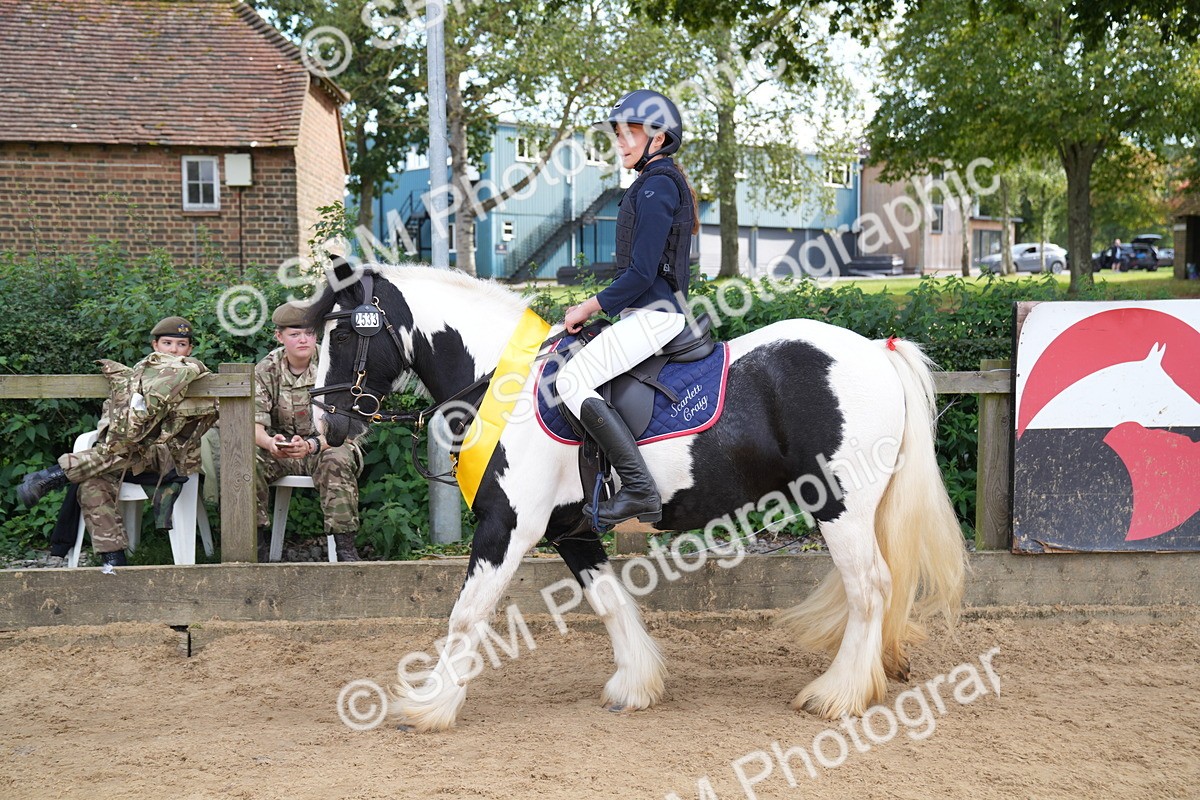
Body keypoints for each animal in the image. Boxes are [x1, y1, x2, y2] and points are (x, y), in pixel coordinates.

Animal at [307, 262, 966, 732]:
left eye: (342, 332)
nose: (324, 425)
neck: (503, 383)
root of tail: (874, 350)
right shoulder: (570, 530)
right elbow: (609, 602)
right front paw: (637, 686)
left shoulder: (508, 524)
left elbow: (468, 612)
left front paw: (429, 706)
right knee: (880, 588)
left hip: (839, 505)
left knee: (870, 587)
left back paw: (838, 696)